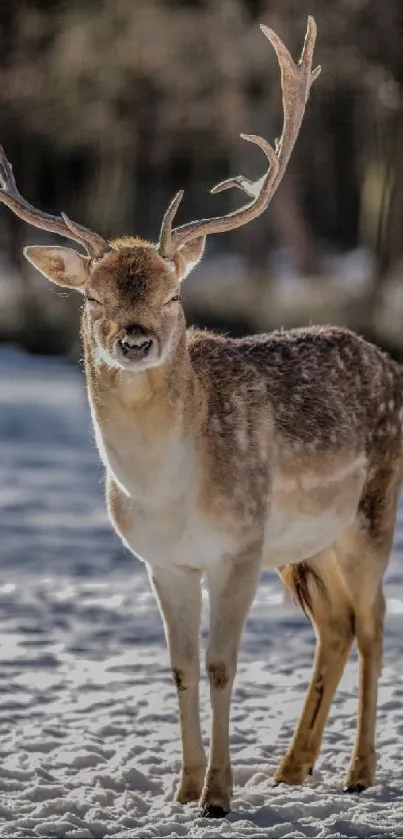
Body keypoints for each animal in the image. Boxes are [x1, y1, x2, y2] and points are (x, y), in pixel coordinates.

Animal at [0, 14, 400, 820]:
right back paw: (291, 768)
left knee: (374, 624)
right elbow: (181, 667)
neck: (168, 492)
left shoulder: (238, 545)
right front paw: (182, 789)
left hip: (370, 513)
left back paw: (356, 772)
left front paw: (218, 794)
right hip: (306, 544)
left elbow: (221, 664)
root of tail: (392, 364)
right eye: (92, 296)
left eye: (174, 294)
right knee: (337, 625)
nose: (135, 338)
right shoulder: (161, 560)